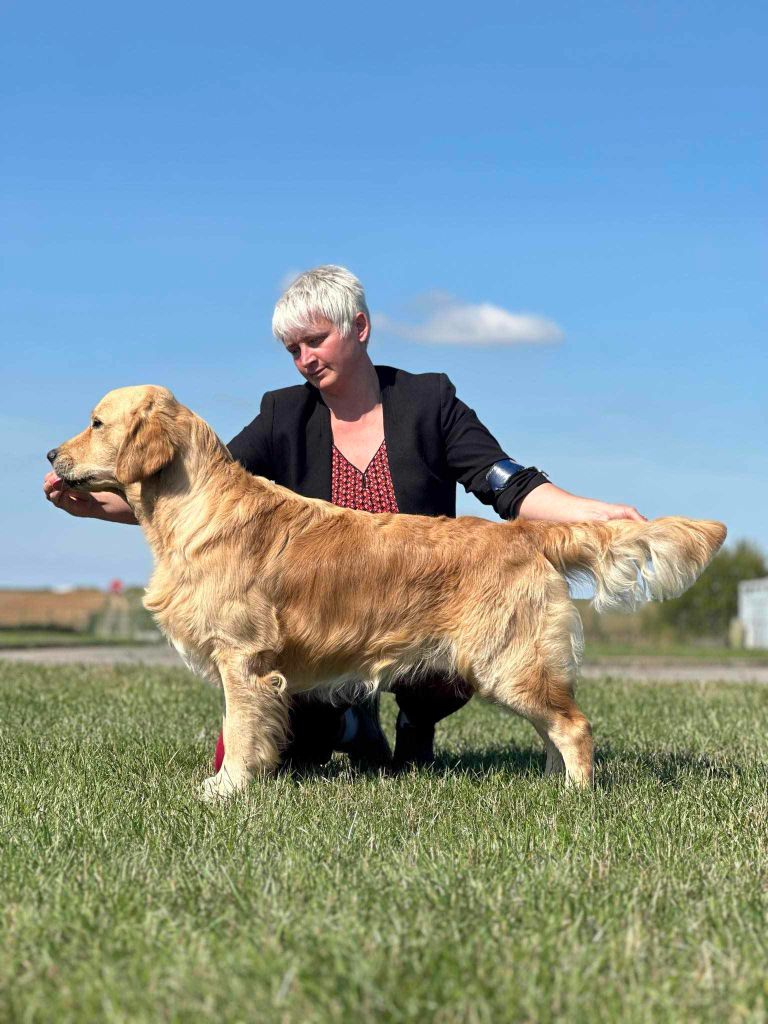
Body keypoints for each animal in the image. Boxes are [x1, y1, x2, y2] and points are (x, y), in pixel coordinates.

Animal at [48, 387, 729, 794]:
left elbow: (239, 731)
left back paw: (576, 795)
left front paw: (228, 790)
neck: (192, 508)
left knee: (575, 726)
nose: (52, 454)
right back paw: (550, 785)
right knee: (553, 728)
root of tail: (526, 533)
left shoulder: (244, 658)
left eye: (96, 422)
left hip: (508, 661)